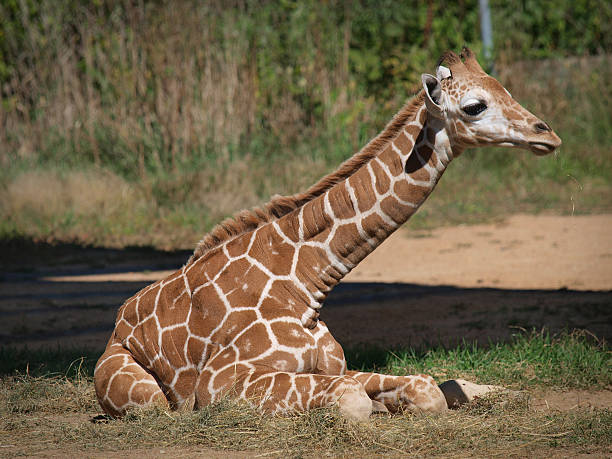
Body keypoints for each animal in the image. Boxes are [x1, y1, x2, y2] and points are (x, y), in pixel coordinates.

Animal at [94, 49, 560, 420]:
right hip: (138, 391)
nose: (549, 135)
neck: (305, 286)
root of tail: (118, 321)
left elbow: (429, 389)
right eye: (475, 106)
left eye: (506, 90)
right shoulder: (219, 380)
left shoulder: (336, 366)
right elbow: (353, 401)